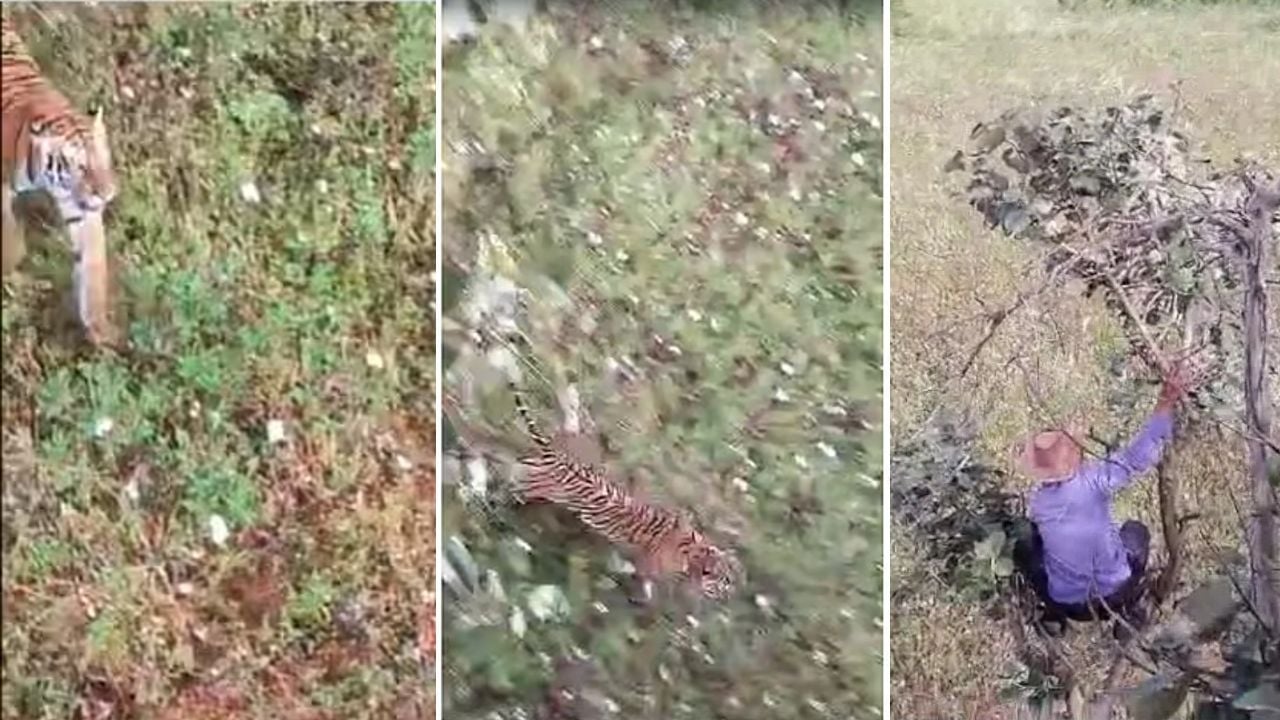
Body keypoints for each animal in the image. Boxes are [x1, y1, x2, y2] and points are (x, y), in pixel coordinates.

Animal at [2, 14, 117, 344]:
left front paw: (99, 328)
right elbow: (12, 242)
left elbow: (93, 262)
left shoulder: (80, 207)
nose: (108, 195)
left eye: (105, 160)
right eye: (82, 168)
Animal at [510, 382, 741, 600]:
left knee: (524, 463)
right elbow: (646, 585)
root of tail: (560, 458)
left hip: (542, 463)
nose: (730, 593)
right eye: (726, 580)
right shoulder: (649, 567)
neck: (692, 550)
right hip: (543, 484)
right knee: (523, 482)